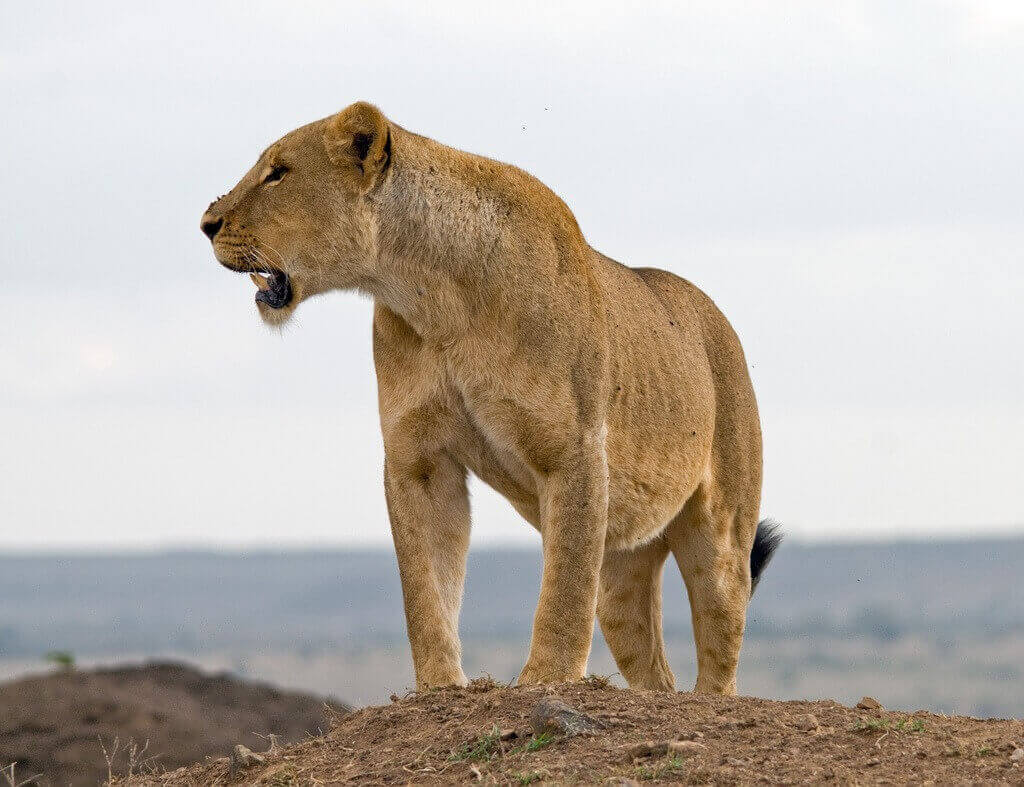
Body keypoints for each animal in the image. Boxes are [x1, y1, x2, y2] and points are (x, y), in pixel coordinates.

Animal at [200, 101, 781, 695]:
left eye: (277, 173)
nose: (205, 225)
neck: (434, 298)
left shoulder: (575, 451)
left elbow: (564, 590)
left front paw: (545, 678)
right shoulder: (418, 458)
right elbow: (425, 587)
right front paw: (439, 686)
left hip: (721, 533)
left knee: (719, 652)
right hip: (622, 564)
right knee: (654, 670)